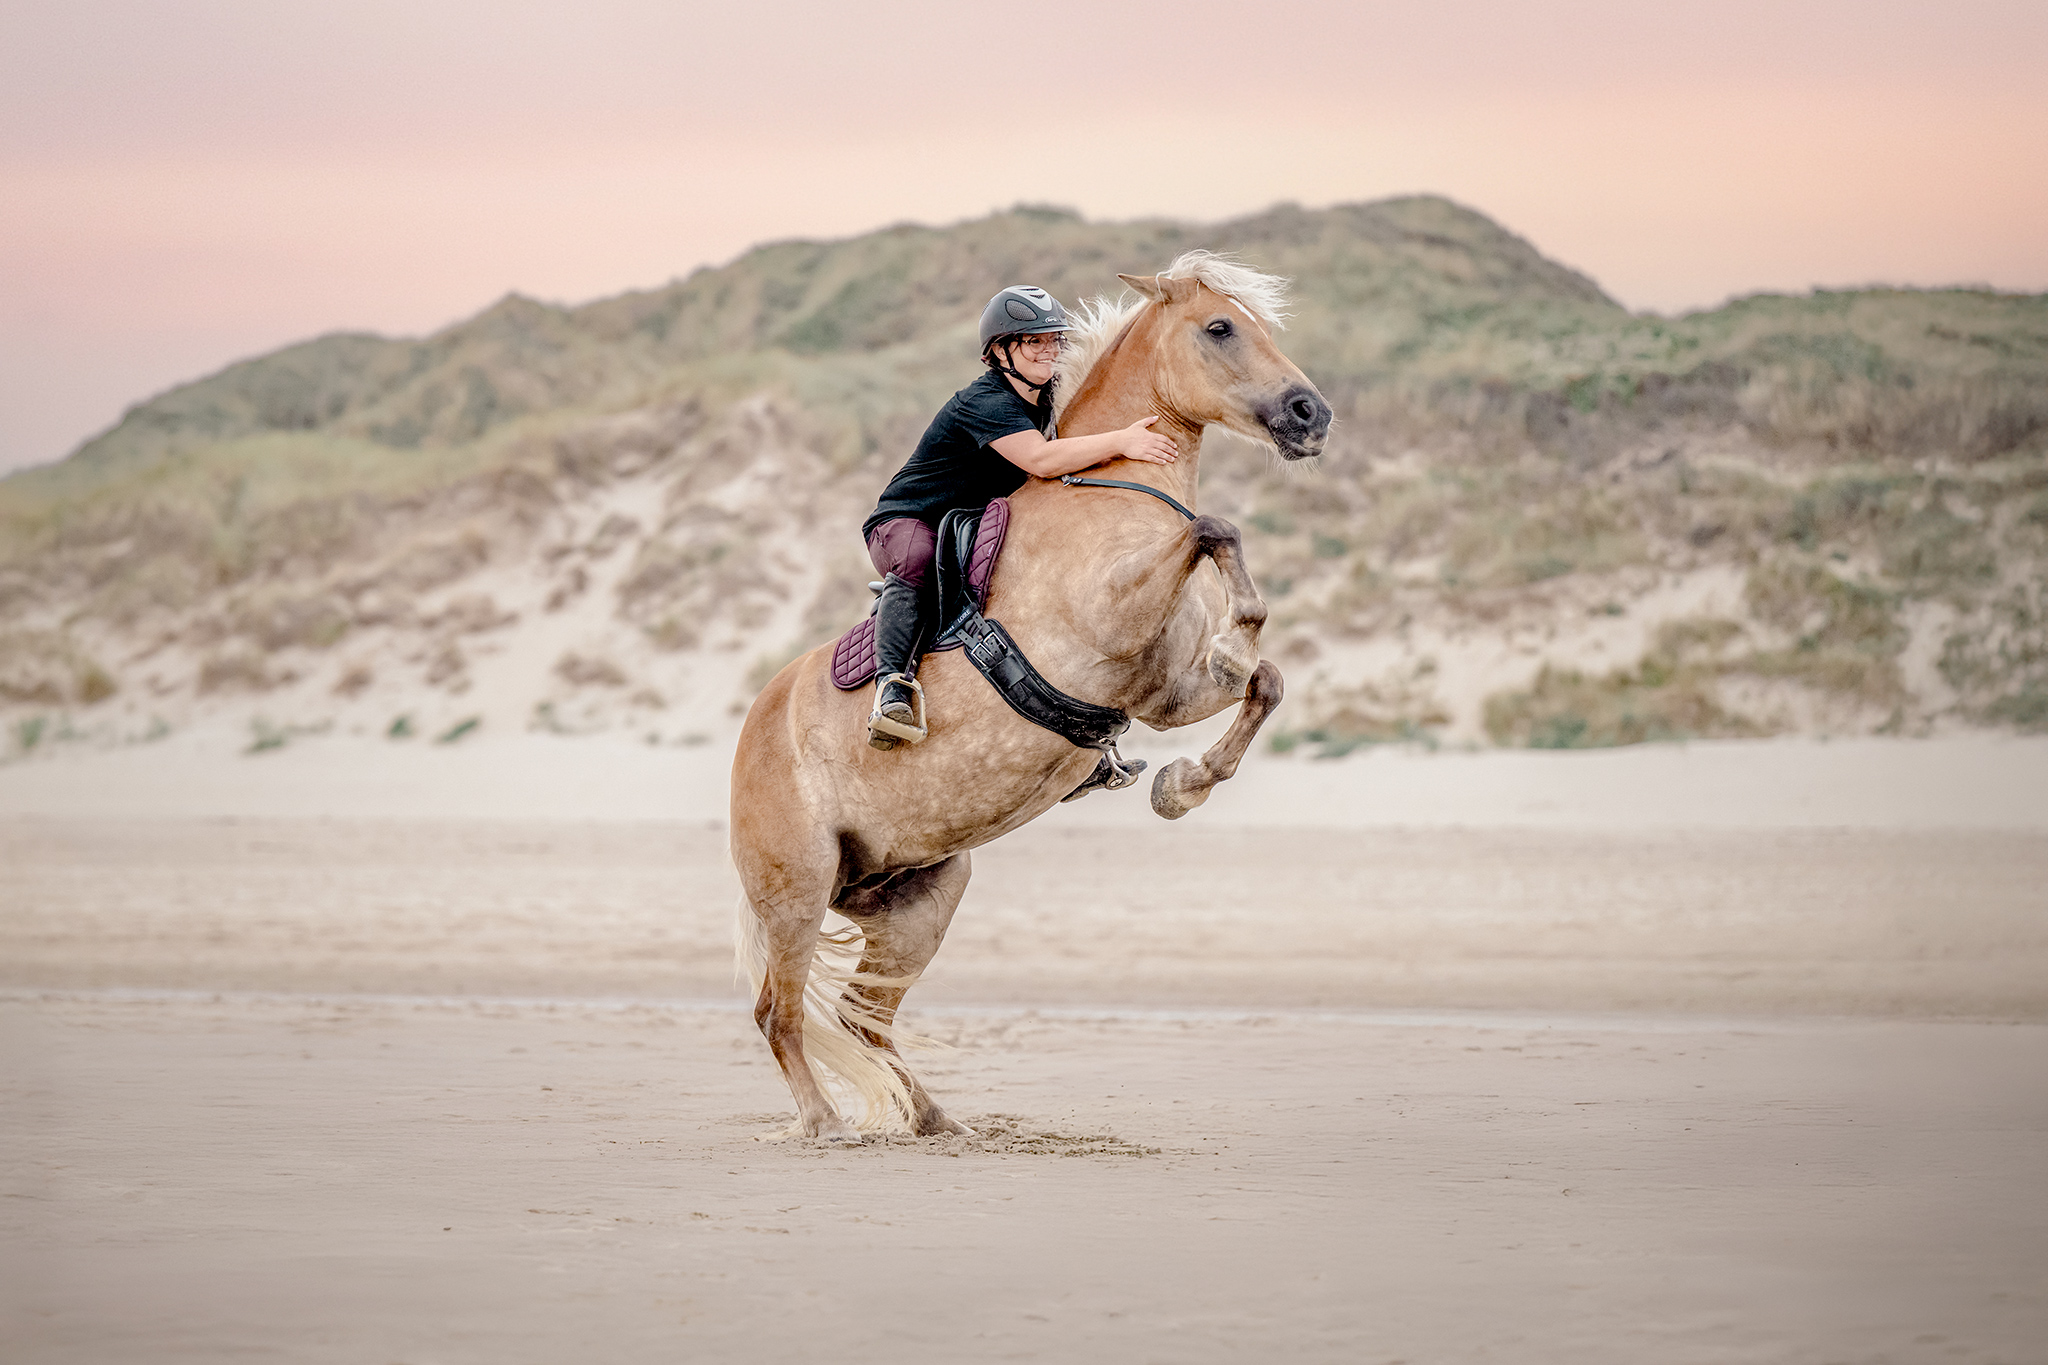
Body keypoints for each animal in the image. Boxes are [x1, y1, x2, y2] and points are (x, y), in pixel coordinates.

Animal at [730, 251, 1333, 1141]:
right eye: (1221, 327)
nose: (1310, 413)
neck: (1109, 492)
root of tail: (749, 735)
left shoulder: (1169, 693)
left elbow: (1263, 679)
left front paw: (1180, 784)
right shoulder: (1119, 616)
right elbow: (1214, 531)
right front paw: (1233, 642)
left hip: (919, 895)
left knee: (863, 1018)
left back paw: (936, 1118)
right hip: (796, 894)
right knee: (782, 1012)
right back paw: (825, 1122)